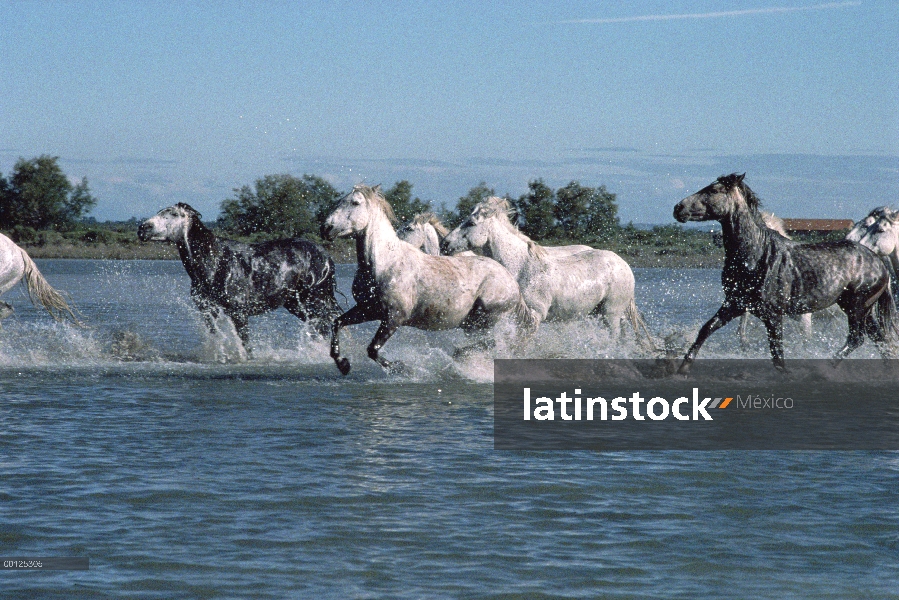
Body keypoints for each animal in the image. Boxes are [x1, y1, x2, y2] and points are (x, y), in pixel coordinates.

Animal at [137, 204, 342, 358]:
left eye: (173, 214)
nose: (143, 228)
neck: (213, 262)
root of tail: (327, 258)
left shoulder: (238, 312)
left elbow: (246, 345)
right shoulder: (208, 310)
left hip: (316, 300)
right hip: (296, 304)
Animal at [322, 185, 536, 378]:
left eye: (355, 202)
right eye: (340, 200)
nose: (326, 228)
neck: (384, 263)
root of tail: (512, 282)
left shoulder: (394, 317)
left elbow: (372, 349)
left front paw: (403, 369)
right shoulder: (368, 309)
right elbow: (337, 323)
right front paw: (343, 364)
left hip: (484, 319)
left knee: (491, 343)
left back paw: (459, 357)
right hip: (471, 325)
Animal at [442, 197, 652, 346]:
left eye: (471, 223)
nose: (445, 243)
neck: (521, 267)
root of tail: (623, 264)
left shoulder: (534, 316)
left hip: (611, 314)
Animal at [672, 171, 896, 372]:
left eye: (715, 190)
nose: (678, 208)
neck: (757, 256)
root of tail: (878, 263)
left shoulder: (773, 314)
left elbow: (778, 356)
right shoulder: (735, 304)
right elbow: (706, 329)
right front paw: (683, 369)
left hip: (857, 307)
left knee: (857, 338)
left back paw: (824, 369)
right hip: (861, 309)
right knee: (879, 338)